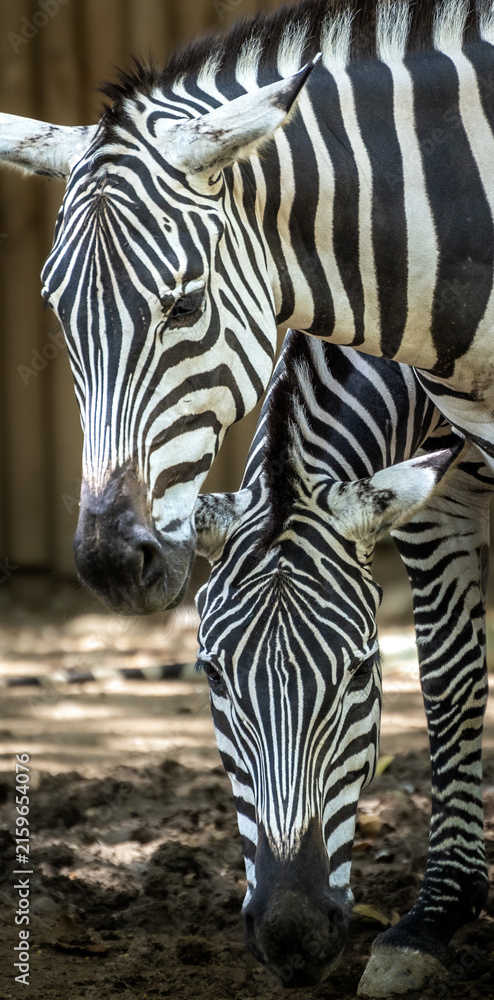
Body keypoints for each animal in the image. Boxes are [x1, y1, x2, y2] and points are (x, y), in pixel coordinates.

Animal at [194, 329, 493, 996]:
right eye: (212, 673)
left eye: (360, 670)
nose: (291, 935)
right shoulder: (435, 508)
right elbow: (450, 677)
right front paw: (438, 913)